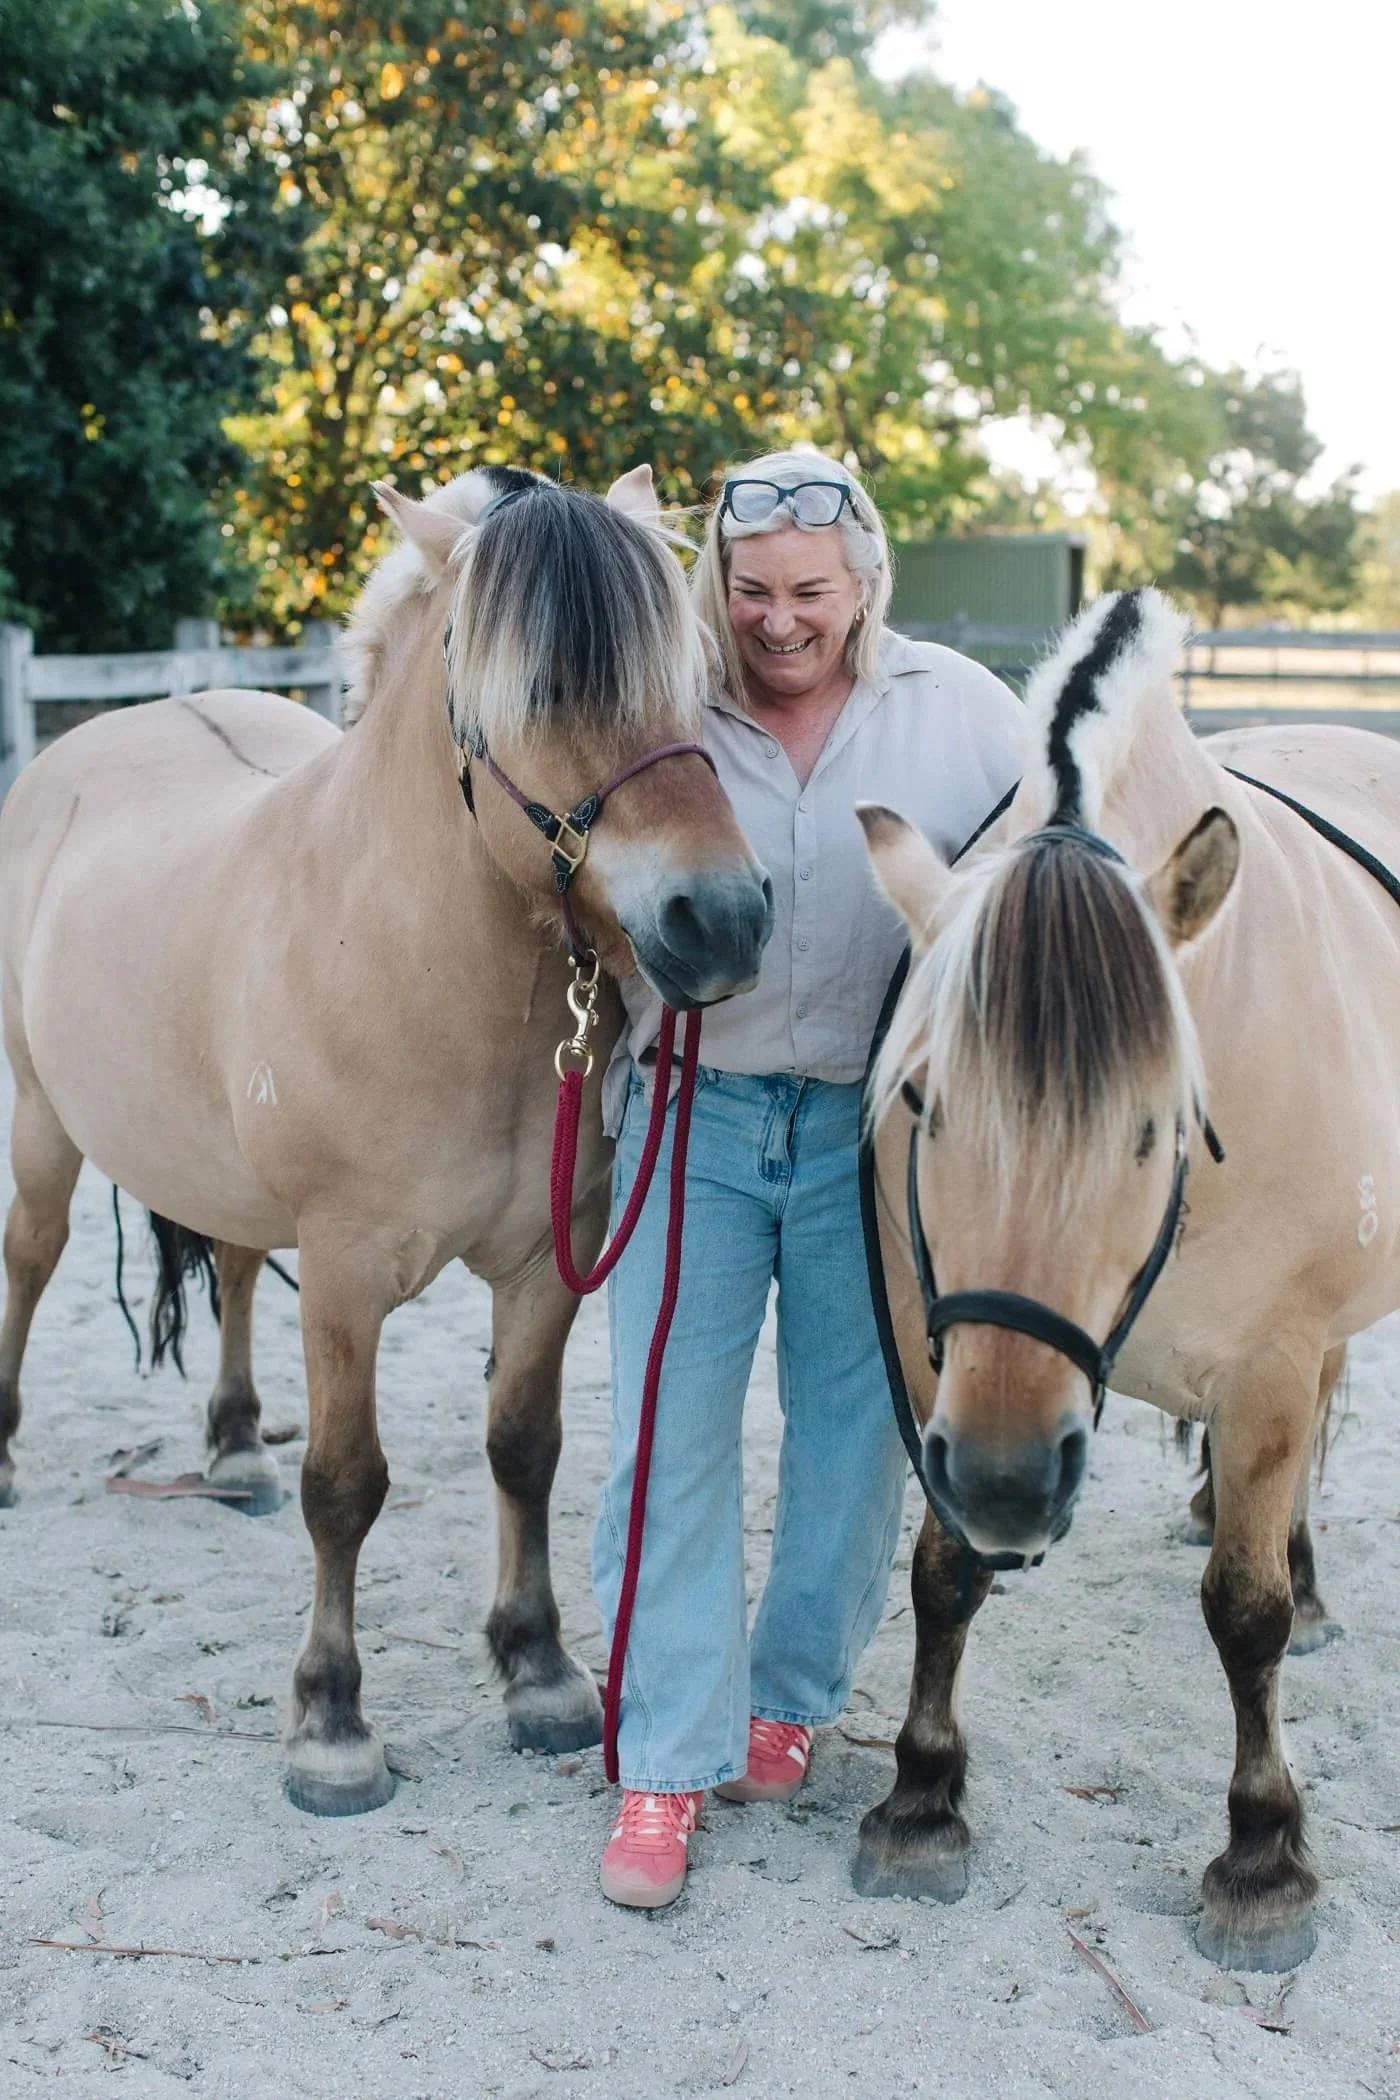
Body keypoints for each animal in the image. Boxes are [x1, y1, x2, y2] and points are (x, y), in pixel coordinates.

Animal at [0, 464, 773, 1816]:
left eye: (696, 681)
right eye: (542, 687)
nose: (719, 919)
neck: (419, 956)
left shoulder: (546, 1262)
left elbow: (523, 1449)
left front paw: (539, 1669)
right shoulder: (348, 1271)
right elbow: (346, 1487)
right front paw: (330, 1722)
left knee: (235, 1266)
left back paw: (234, 1447)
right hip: (43, 1128)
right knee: (31, 1262)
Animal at [856, 585, 1400, 1970]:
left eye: (1157, 1124)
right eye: (922, 1102)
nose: (1006, 1483)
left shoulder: (1266, 1362)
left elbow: (1244, 1617)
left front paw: (1261, 1856)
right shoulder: (928, 1346)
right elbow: (940, 1573)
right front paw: (922, 1795)